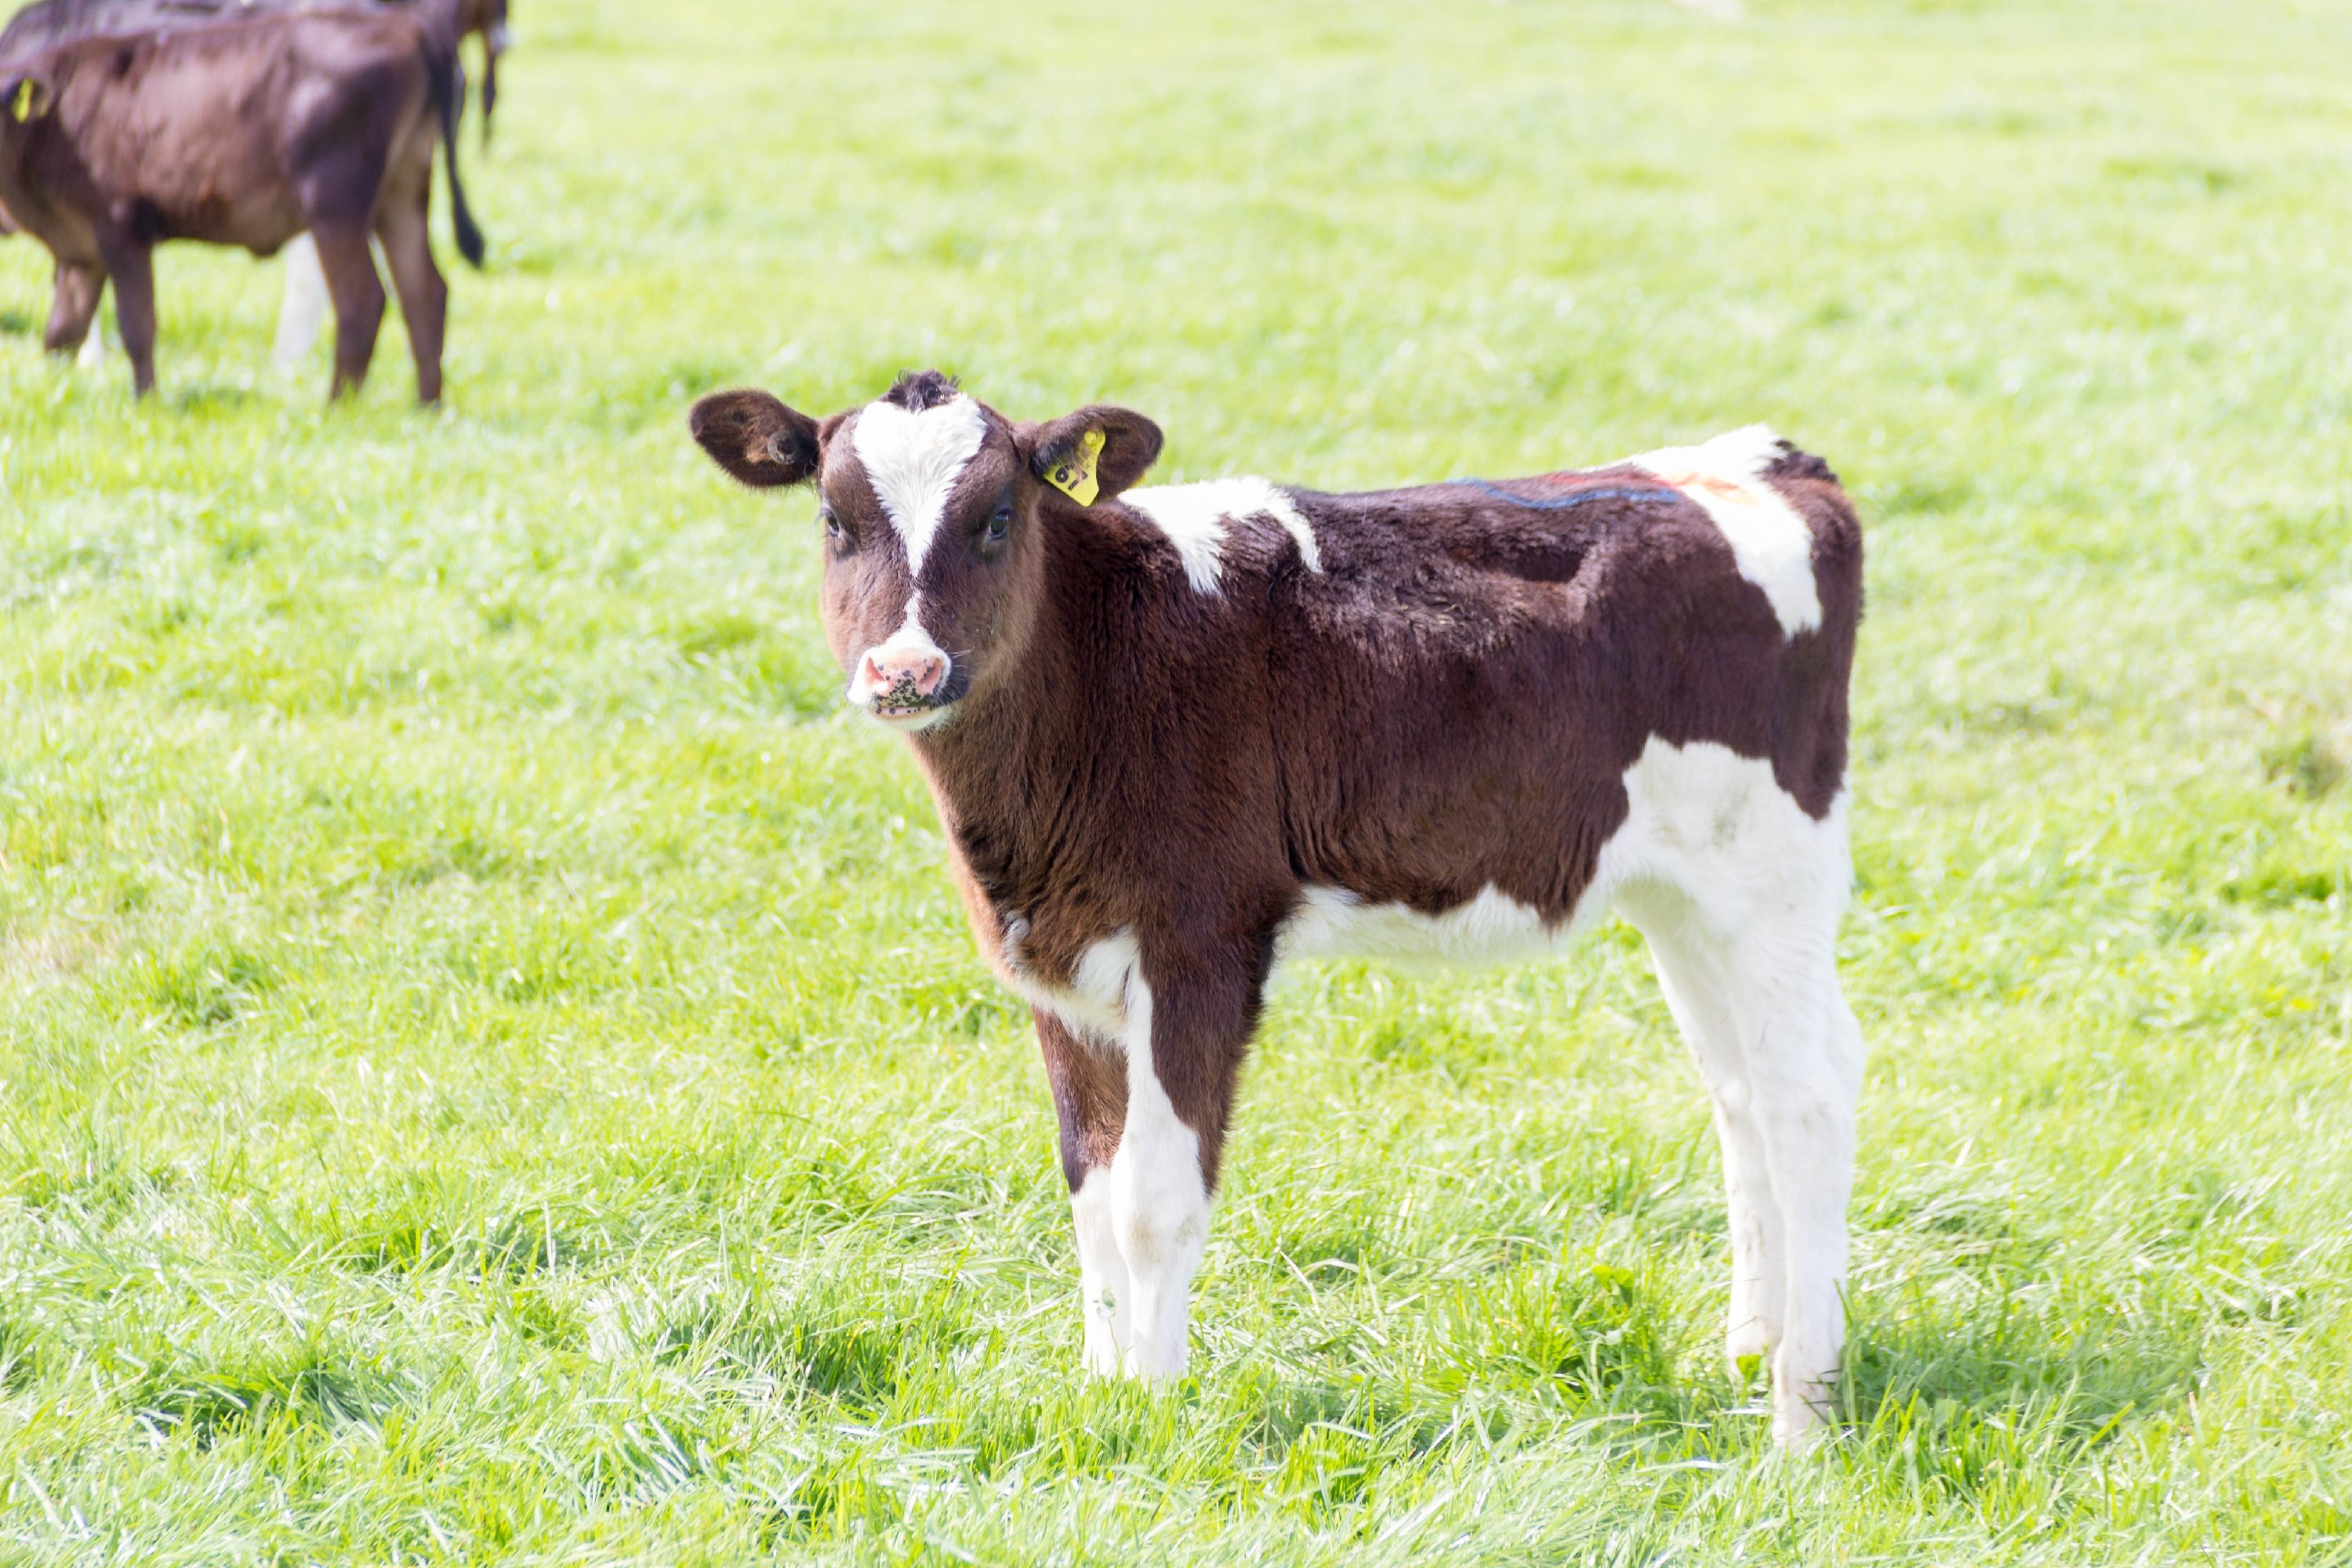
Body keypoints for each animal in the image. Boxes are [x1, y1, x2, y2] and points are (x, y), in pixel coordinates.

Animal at [3, 7, 482, 399]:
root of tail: (412, 29)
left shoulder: (122, 226)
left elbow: (136, 325)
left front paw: (147, 402)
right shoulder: (80, 250)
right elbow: (62, 332)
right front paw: (54, 392)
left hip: (335, 204)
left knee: (363, 299)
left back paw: (337, 407)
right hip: (402, 193)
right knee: (424, 292)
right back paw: (427, 407)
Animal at [687, 373, 1863, 1457]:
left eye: (998, 517)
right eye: (834, 519)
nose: (905, 668)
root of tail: (1760, 462)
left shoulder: (1202, 944)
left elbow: (1154, 1199)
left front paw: (1155, 1413)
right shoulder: (1055, 966)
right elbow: (1089, 1192)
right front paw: (1103, 1391)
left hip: (1775, 871)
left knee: (1808, 1092)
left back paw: (1799, 1413)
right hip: (1684, 898)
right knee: (1739, 1091)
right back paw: (1751, 1349)